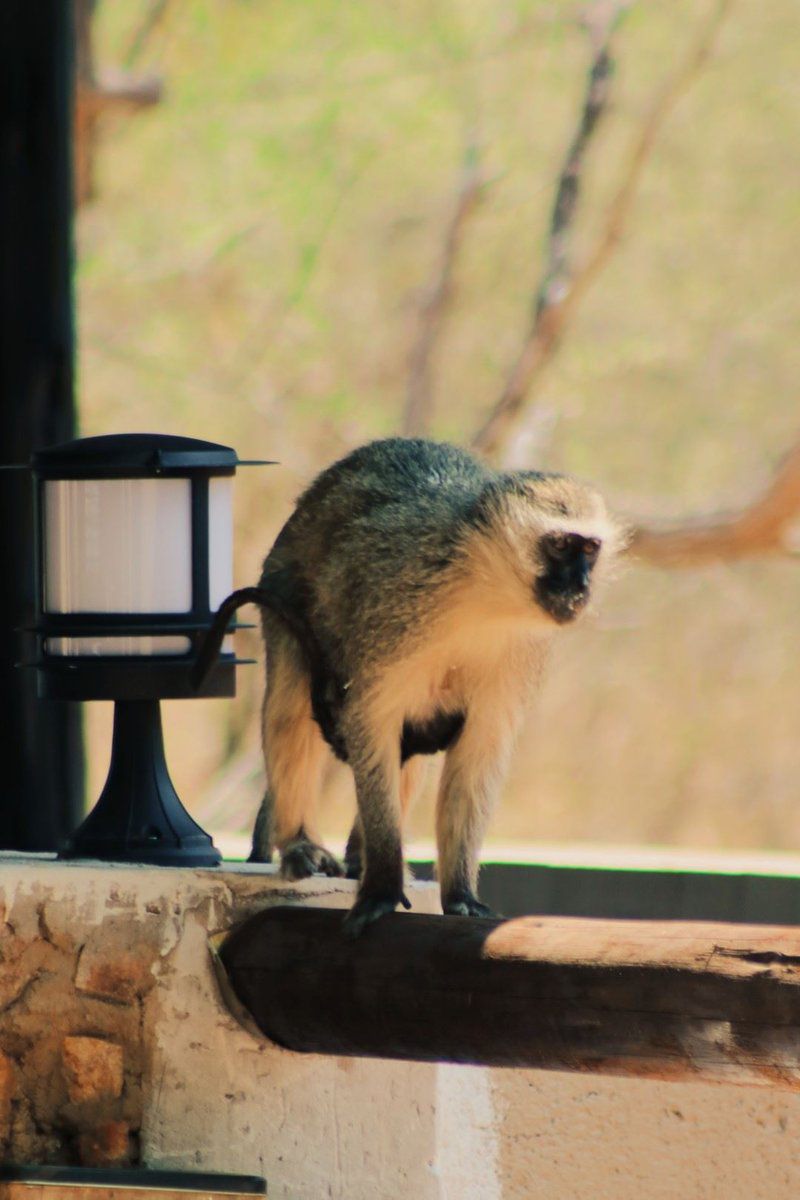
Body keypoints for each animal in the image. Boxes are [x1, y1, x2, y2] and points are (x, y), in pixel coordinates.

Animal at [194, 436, 618, 931]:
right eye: (560, 545)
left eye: (589, 549)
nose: (580, 586)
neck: (485, 594)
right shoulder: (394, 603)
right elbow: (370, 720)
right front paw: (381, 883)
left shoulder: (522, 652)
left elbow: (479, 747)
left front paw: (460, 893)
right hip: (284, 580)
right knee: (291, 709)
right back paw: (303, 843)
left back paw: (357, 856)